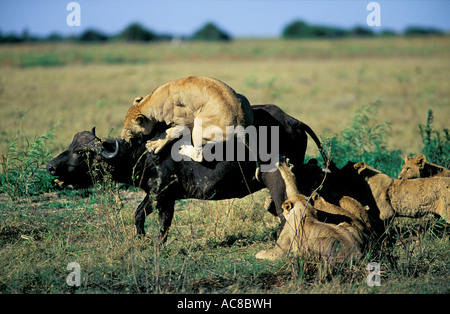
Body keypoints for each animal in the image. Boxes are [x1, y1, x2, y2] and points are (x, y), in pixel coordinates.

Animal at [46, 104, 326, 242]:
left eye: (82, 153)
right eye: (69, 146)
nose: (50, 166)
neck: (143, 153)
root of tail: (292, 120)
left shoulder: (165, 196)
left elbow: (163, 224)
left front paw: (157, 244)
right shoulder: (153, 193)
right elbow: (138, 215)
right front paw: (141, 239)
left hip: (279, 181)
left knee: (284, 211)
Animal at [119, 76, 253, 162]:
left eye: (129, 130)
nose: (122, 139)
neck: (148, 103)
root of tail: (240, 125)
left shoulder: (188, 120)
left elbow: (171, 133)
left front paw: (155, 145)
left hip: (199, 123)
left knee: (199, 155)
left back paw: (184, 149)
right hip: (243, 97)